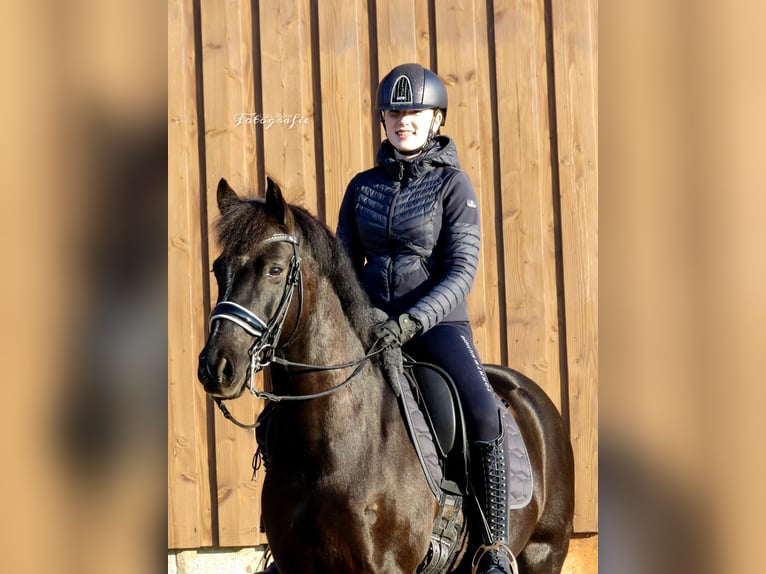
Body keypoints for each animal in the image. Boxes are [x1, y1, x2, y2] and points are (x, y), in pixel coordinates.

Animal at [197, 177, 575, 573]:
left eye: (274, 269)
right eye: (218, 268)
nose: (217, 366)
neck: (326, 445)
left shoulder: (386, 567)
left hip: (543, 553)